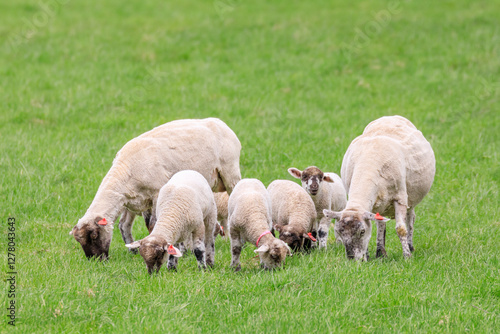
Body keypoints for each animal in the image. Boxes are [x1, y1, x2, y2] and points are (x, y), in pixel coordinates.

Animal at [71, 118, 242, 260]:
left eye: (94, 235)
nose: (95, 260)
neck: (125, 171)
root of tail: (221, 124)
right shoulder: (135, 200)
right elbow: (125, 225)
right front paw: (133, 250)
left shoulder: (156, 193)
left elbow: (153, 224)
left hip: (230, 172)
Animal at [324, 115, 434, 260]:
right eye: (339, 232)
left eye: (362, 231)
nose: (352, 258)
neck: (368, 164)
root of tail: (390, 117)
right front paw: (368, 256)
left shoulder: (400, 198)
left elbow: (401, 229)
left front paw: (407, 256)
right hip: (381, 204)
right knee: (381, 224)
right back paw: (381, 252)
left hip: (411, 197)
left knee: (411, 219)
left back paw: (410, 246)